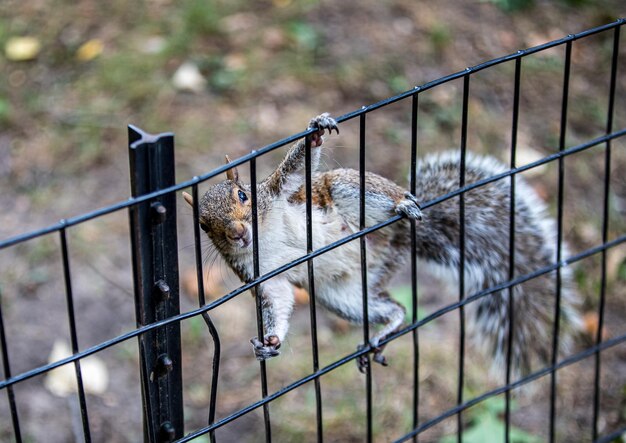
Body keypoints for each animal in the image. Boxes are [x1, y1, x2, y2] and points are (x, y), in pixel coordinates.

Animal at [182, 113, 580, 374]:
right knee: (396, 309)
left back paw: (402, 205)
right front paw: (270, 343)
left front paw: (315, 133)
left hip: (347, 192)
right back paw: (385, 329)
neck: (262, 238)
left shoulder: (281, 191)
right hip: (344, 297)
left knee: (371, 197)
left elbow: (296, 169)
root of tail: (400, 242)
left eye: (243, 194)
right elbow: (277, 300)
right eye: (202, 225)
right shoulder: (261, 276)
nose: (237, 233)